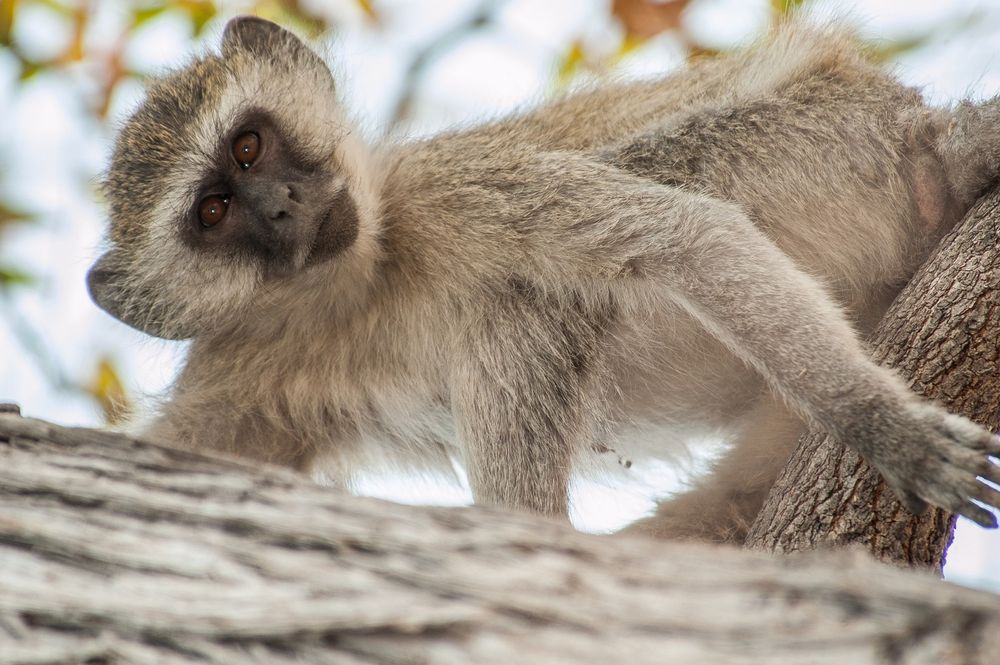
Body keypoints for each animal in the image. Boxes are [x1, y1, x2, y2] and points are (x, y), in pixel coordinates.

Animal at [87, 15, 1000, 543]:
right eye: (212, 212)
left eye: (249, 146)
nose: (281, 207)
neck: (360, 283)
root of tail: (915, 123)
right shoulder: (236, 366)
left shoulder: (465, 191)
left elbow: (686, 236)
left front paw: (882, 425)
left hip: (821, 143)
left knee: (520, 300)